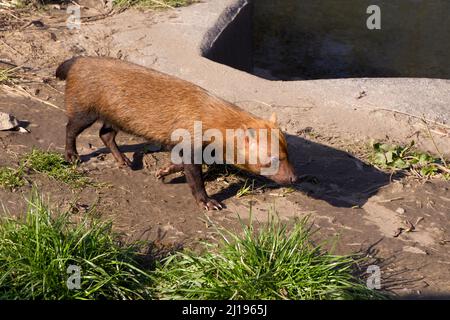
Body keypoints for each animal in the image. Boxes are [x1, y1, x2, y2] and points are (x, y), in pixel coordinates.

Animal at [56, 56, 298, 211]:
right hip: (84, 111)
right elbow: (195, 178)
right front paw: (208, 202)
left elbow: (181, 165)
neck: (211, 115)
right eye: (273, 159)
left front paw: (163, 171)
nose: (294, 178)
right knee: (70, 129)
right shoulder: (191, 145)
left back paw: (124, 160)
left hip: (114, 117)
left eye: (289, 154)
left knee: (105, 134)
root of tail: (76, 62)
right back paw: (72, 156)